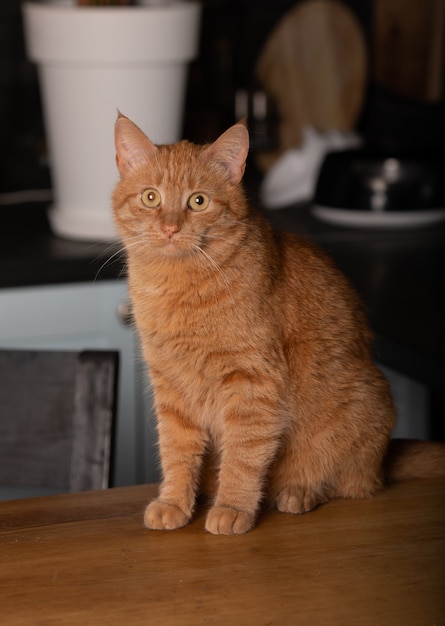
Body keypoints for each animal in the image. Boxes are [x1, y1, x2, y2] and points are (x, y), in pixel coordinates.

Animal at [112, 112, 444, 532]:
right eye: (150, 197)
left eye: (198, 201)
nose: (170, 228)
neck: (178, 286)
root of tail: (385, 458)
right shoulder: (171, 387)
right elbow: (176, 450)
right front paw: (174, 501)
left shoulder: (252, 382)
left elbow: (243, 455)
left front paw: (233, 507)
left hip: (359, 412)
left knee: (351, 482)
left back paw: (299, 492)